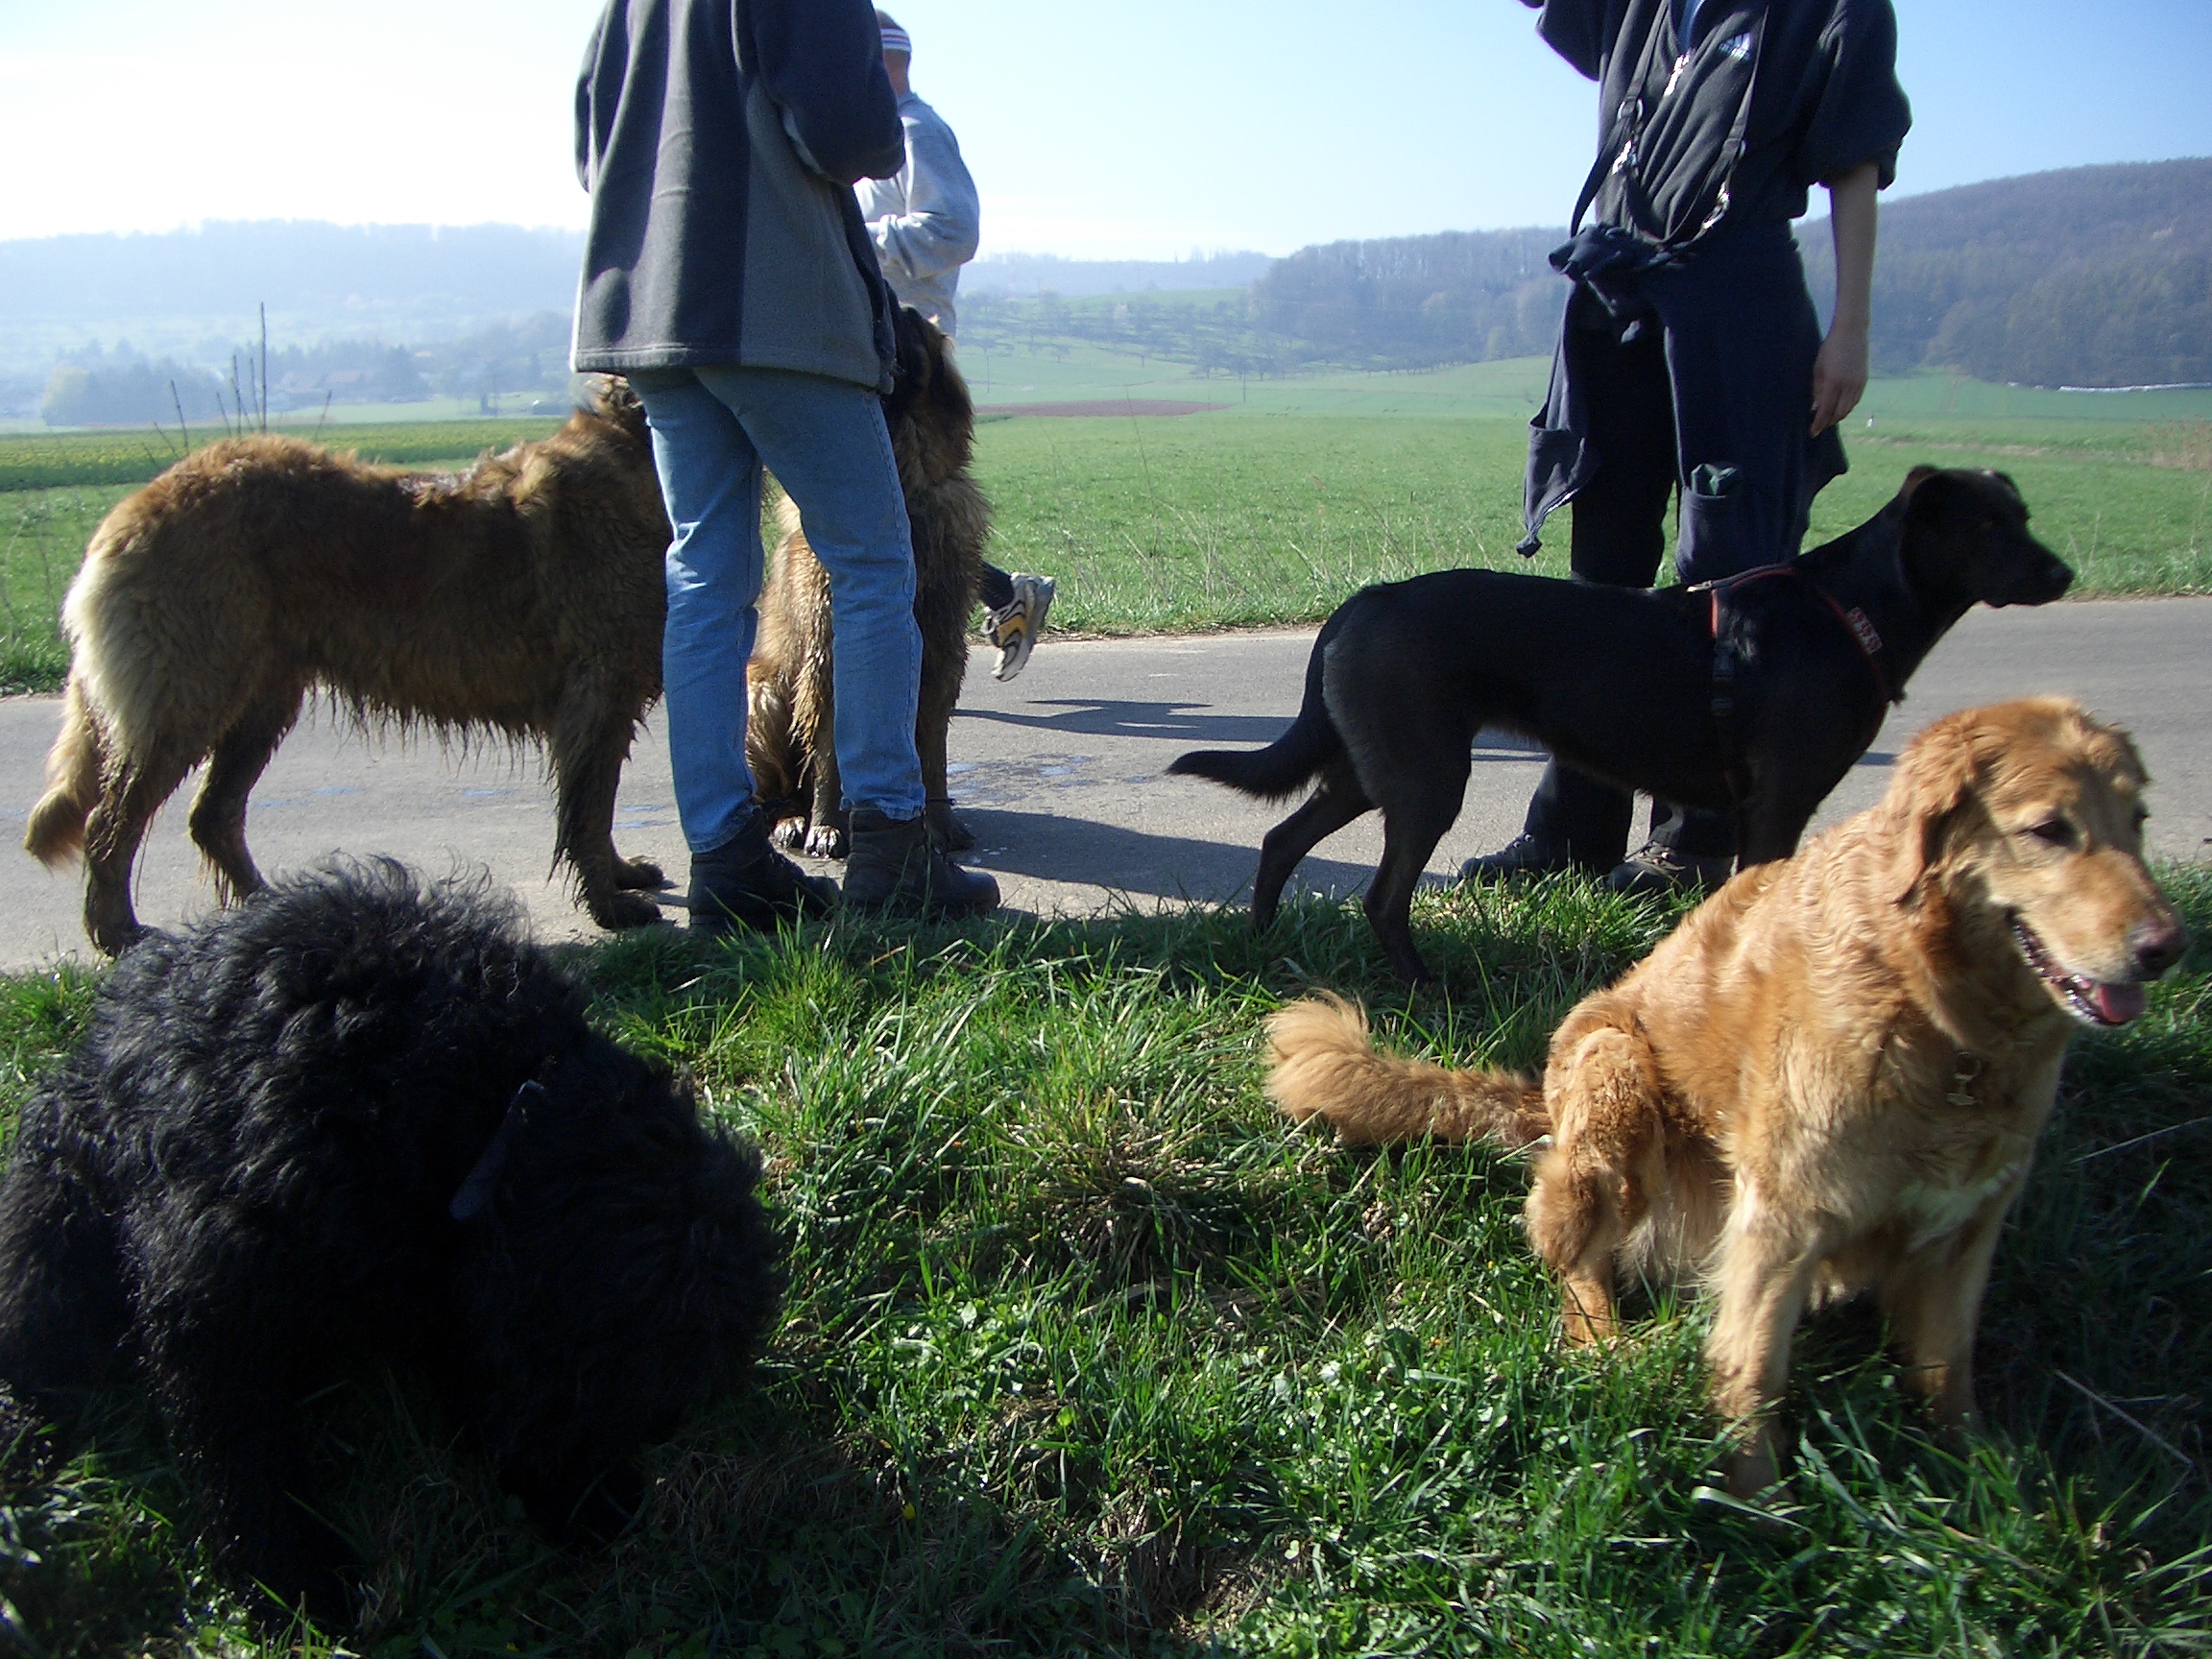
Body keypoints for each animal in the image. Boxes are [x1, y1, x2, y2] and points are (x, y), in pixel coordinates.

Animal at [0, 862, 782, 1620]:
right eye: (623, 1398)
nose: (618, 1511)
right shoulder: (216, 1285)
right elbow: (242, 1448)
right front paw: (290, 1577)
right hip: (57, 1226)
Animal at [24, 383, 675, 955]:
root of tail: (134, 507)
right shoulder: (598, 689)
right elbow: (587, 807)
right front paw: (611, 906)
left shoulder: (609, 697)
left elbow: (600, 803)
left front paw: (621, 875)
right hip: (187, 693)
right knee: (110, 823)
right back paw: (120, 934)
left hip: (262, 699)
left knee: (212, 814)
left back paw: (268, 911)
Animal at [745, 305, 988, 857]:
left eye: (909, 319)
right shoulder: (830, 653)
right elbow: (830, 754)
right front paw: (826, 825)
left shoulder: (940, 653)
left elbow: (931, 751)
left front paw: (938, 822)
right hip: (761, 694)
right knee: (770, 793)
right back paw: (792, 820)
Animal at [1170, 468, 2075, 982]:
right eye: (1988, 525)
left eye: (2026, 515)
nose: (2064, 572)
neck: (1854, 608)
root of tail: (1364, 600)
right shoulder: (1779, 804)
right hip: (1427, 779)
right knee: (1382, 898)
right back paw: (1422, 987)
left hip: (1371, 768)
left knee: (1282, 839)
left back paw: (1264, 941)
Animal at [1267, 698, 2186, 1497]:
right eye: (2048, 830)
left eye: (2138, 821)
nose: (2167, 948)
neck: (1940, 1020)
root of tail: (1545, 1106)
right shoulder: (1784, 1219)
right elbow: (1751, 1371)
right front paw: (1757, 1504)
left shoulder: (1966, 1227)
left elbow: (1947, 1373)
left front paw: (1984, 1494)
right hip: (1615, 1076)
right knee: (1576, 1264)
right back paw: (1607, 1345)